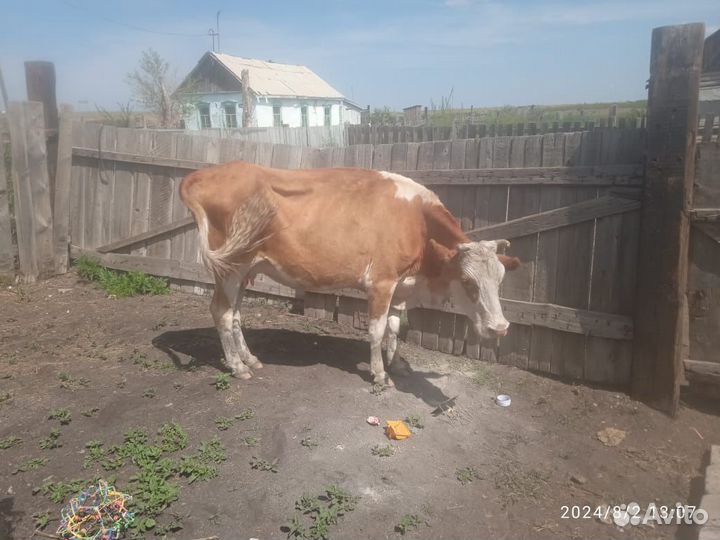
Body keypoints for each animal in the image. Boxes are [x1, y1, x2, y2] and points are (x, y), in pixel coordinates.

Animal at [179, 162, 520, 386]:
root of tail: (205, 173)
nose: (501, 327)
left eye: (500, 280)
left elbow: (395, 328)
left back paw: (250, 358)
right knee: (221, 313)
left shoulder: (400, 285)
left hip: (246, 270)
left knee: (235, 314)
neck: (417, 221)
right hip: (231, 267)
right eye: (468, 281)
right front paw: (379, 374)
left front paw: (397, 364)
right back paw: (237, 366)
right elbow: (377, 330)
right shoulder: (381, 282)